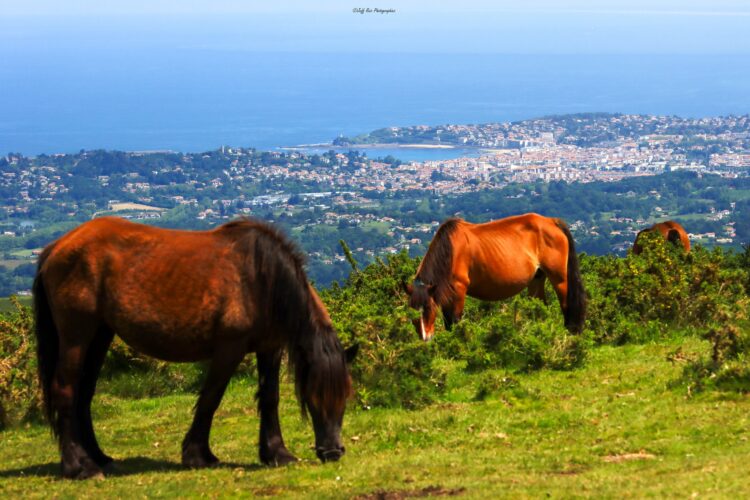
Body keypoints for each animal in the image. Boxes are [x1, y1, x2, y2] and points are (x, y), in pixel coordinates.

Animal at [36, 217, 360, 478]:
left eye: (346, 395)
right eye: (312, 398)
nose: (332, 453)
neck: (261, 278)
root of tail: (57, 246)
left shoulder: (270, 348)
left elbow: (270, 398)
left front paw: (276, 454)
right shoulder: (230, 348)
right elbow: (210, 398)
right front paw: (197, 455)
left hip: (100, 334)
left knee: (84, 394)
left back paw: (99, 457)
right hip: (76, 336)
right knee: (65, 391)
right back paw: (78, 467)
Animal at [406, 213, 588, 342]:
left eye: (428, 308)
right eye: (412, 312)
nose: (425, 338)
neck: (451, 251)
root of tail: (552, 221)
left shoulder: (459, 290)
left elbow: (454, 320)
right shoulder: (445, 292)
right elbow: (447, 319)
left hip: (559, 277)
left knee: (567, 304)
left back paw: (572, 332)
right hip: (537, 278)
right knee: (539, 305)